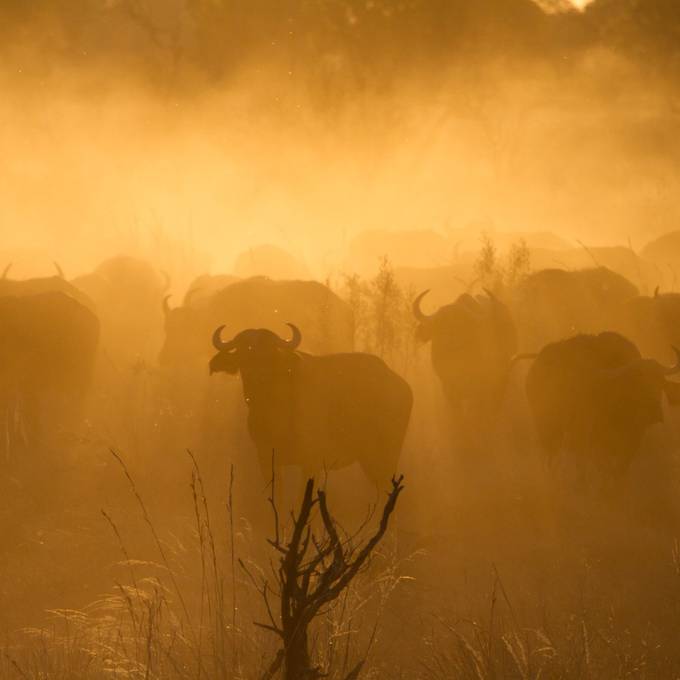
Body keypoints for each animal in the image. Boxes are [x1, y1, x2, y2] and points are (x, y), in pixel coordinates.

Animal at [209, 324, 412, 488]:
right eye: (244, 352)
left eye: (269, 353)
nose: (257, 376)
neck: (274, 411)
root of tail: (402, 386)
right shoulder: (266, 459)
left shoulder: (311, 462)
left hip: (385, 455)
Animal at [526, 332, 680, 476]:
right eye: (638, 383)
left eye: (660, 383)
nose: (655, 412)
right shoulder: (597, 442)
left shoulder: (633, 442)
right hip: (548, 428)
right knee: (554, 456)